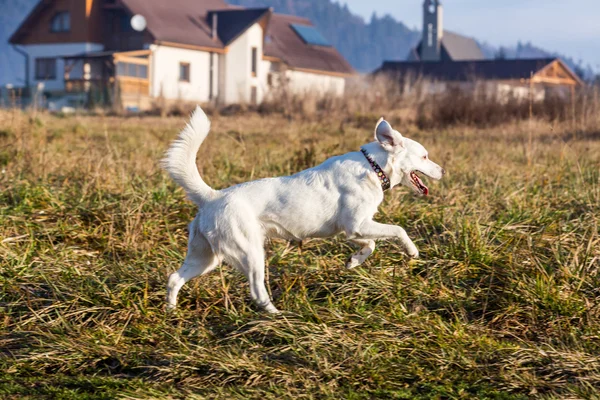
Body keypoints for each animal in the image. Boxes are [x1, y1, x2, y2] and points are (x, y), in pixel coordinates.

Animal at [164, 106, 446, 312]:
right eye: (424, 156)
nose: (443, 171)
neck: (372, 166)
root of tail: (212, 197)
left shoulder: (354, 230)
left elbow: (371, 245)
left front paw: (354, 261)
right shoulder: (358, 225)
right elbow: (398, 230)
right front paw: (412, 251)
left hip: (205, 258)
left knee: (174, 278)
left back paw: (171, 311)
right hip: (249, 253)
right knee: (257, 291)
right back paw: (277, 315)